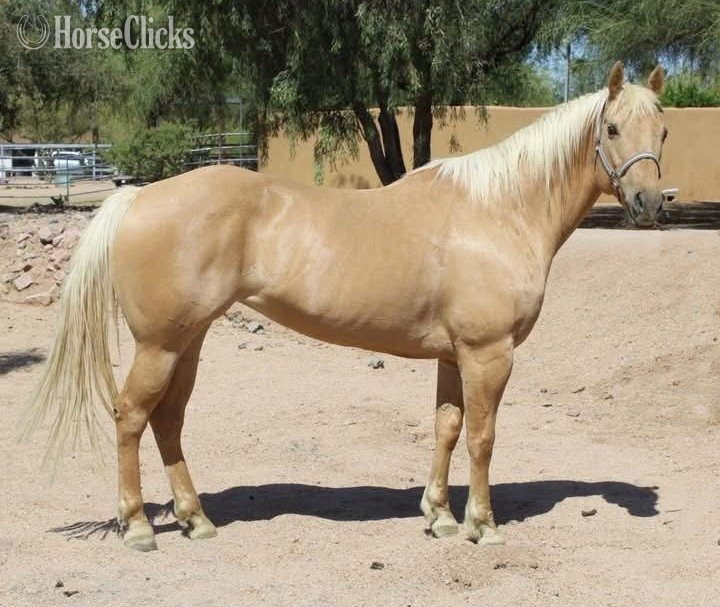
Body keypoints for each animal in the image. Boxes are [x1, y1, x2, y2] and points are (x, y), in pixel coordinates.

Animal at [25, 62, 669, 551]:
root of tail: (138, 196)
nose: (649, 204)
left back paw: (196, 520)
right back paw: (138, 527)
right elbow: (482, 438)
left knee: (168, 419)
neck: (497, 211)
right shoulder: (489, 354)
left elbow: (447, 427)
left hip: (189, 339)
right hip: (159, 344)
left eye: (661, 133)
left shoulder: (454, 356)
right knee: (131, 416)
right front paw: (481, 526)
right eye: (612, 128)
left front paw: (438, 515)